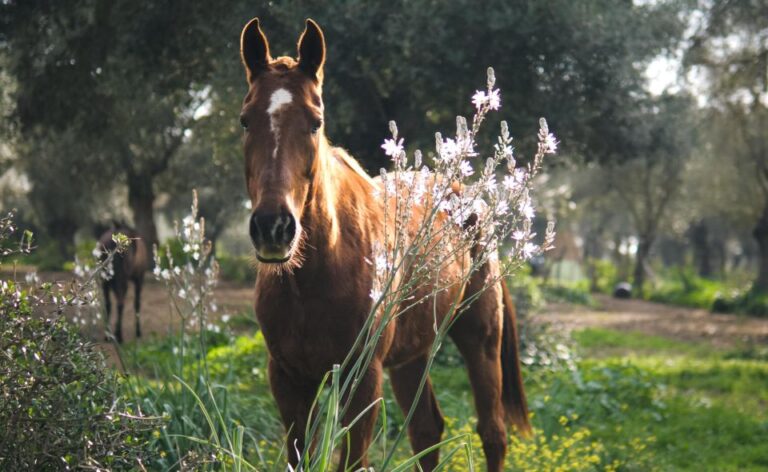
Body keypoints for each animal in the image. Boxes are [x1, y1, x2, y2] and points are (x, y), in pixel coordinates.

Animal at [238, 18, 528, 472]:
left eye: (315, 121)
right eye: (245, 121)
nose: (274, 227)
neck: (316, 275)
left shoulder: (362, 378)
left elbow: (353, 460)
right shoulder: (288, 379)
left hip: (481, 340)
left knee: (493, 434)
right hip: (412, 356)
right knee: (426, 428)